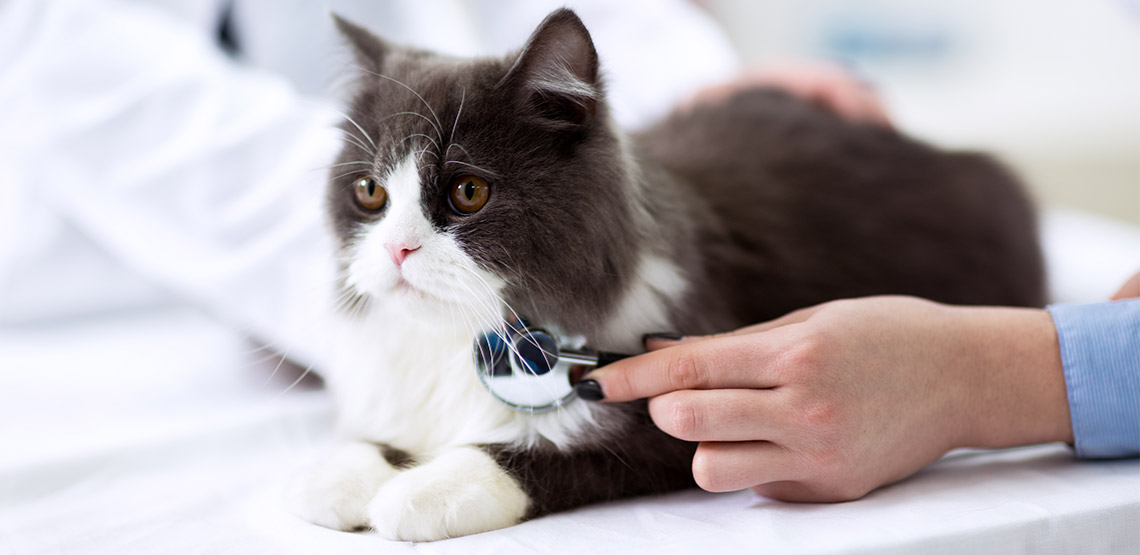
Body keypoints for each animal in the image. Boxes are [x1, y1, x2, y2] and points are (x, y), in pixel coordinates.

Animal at [289, 7, 1044, 542]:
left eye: (467, 192)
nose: (396, 251)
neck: (464, 336)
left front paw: (424, 489)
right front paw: (347, 472)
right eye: (370, 193)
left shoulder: (674, 422)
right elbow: (371, 436)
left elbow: (547, 454)